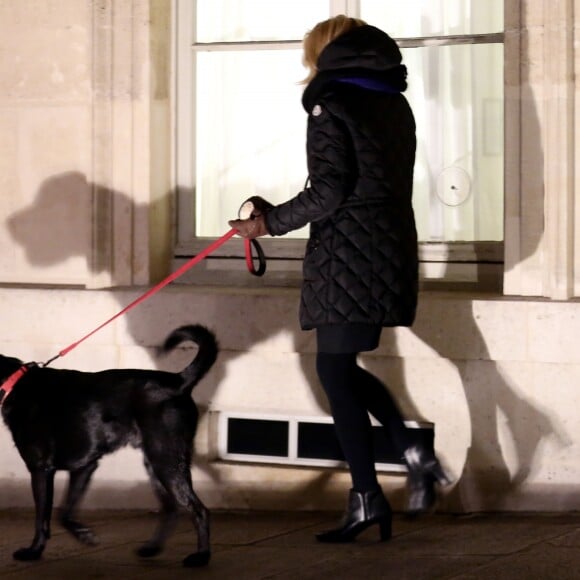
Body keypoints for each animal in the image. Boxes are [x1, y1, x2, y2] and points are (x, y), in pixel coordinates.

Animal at [0, 324, 218, 568]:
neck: (14, 383)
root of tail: (179, 381)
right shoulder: (84, 467)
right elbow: (64, 512)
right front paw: (83, 534)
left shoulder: (40, 470)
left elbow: (43, 517)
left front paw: (34, 551)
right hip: (156, 464)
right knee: (171, 508)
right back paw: (152, 549)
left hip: (166, 460)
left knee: (199, 510)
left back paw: (201, 556)